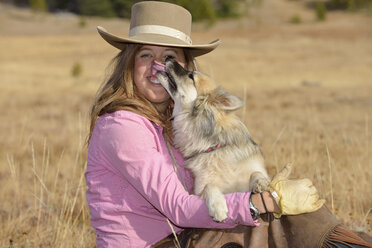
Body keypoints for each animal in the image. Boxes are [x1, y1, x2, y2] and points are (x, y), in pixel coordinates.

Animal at [155, 59, 268, 222]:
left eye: (191, 75)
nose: (169, 58)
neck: (213, 146)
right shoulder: (199, 189)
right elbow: (210, 186)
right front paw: (217, 207)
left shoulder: (254, 170)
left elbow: (256, 173)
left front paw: (261, 183)